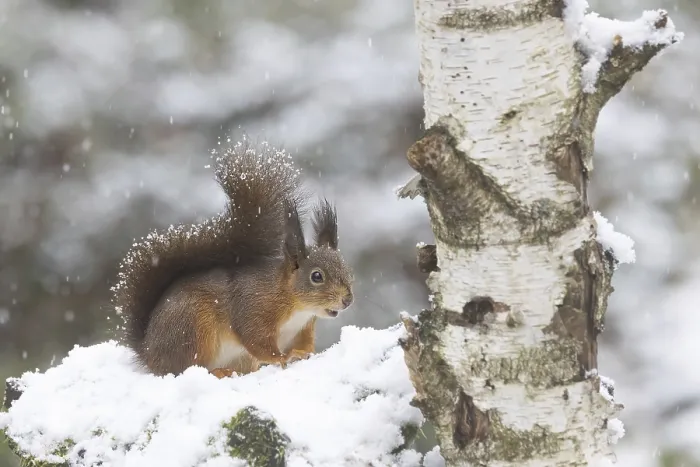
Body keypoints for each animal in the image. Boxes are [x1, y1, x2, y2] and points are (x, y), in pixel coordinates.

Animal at [111, 138, 355, 378]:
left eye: (347, 271)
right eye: (317, 276)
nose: (348, 300)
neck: (296, 305)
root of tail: (148, 353)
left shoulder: (302, 329)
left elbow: (303, 345)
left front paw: (303, 354)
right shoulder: (253, 307)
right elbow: (256, 340)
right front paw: (282, 358)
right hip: (194, 330)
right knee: (185, 367)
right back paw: (218, 372)